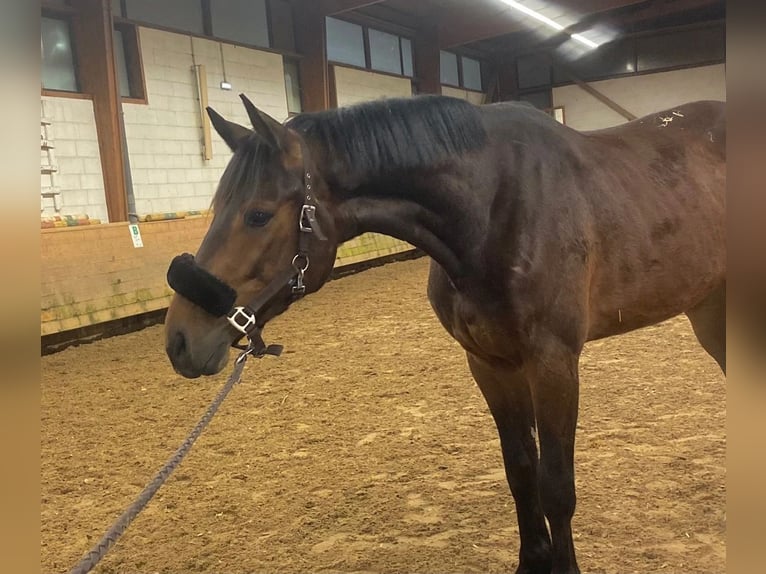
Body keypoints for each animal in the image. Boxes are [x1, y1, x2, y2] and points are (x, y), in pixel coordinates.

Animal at [164, 93, 726, 574]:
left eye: (258, 215)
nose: (180, 341)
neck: (495, 208)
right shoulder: (490, 364)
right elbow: (521, 472)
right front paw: (532, 562)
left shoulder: (554, 363)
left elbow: (556, 486)